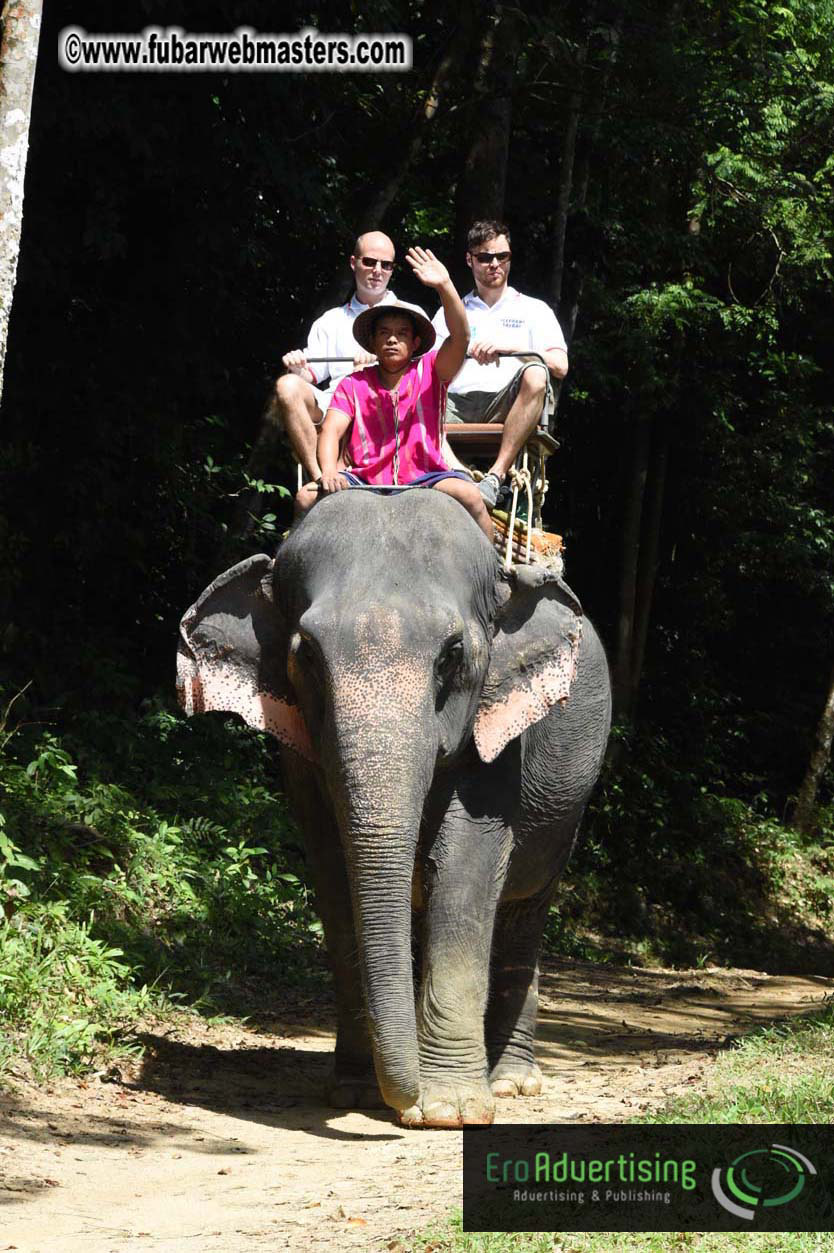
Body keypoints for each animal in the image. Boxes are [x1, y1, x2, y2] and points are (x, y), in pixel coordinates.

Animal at [177, 488, 611, 1128]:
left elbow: (464, 873)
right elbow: (336, 878)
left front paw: (450, 1110)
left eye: (452, 655)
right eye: (306, 656)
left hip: (568, 808)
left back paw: (510, 1084)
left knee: (523, 914)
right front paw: (355, 1095)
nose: (403, 1102)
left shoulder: (497, 731)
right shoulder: (299, 753)